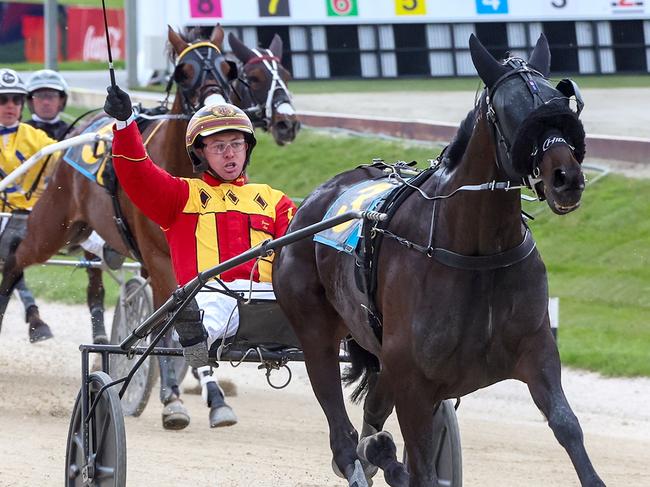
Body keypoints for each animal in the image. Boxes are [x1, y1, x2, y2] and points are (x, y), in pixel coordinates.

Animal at [272, 32, 604, 486]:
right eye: (510, 111)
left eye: (560, 103)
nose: (566, 177)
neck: (476, 251)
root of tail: (310, 204)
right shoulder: (414, 380)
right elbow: (421, 466)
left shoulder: (535, 350)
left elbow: (567, 426)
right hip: (314, 329)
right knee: (344, 438)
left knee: (374, 422)